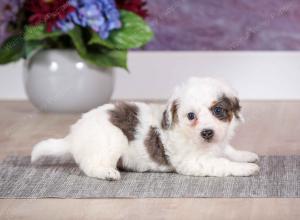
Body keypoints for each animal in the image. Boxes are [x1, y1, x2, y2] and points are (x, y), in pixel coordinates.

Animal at [31, 76, 258, 180]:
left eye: (218, 110)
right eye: (191, 116)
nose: (207, 132)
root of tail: (72, 135)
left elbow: (227, 150)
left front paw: (245, 155)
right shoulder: (193, 162)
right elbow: (221, 163)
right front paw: (245, 168)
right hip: (112, 139)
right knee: (91, 165)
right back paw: (107, 172)